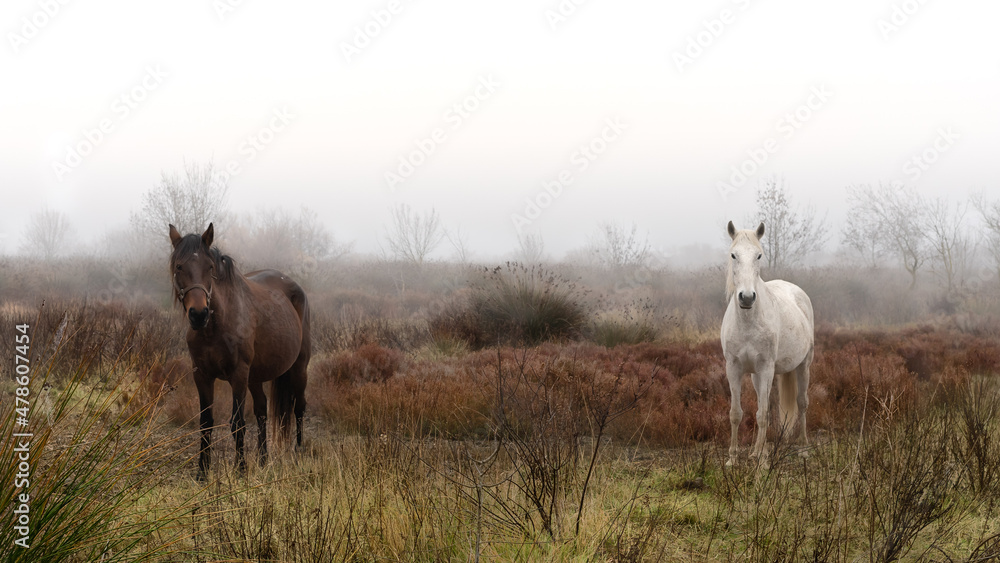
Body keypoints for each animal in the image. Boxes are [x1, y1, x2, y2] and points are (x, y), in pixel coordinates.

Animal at [168, 223, 311, 480]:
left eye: (210, 267)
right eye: (179, 267)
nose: (198, 314)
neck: (215, 327)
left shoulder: (238, 375)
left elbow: (237, 423)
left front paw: (241, 469)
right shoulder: (201, 375)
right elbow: (206, 422)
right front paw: (202, 472)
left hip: (298, 368)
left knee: (299, 407)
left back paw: (298, 452)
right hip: (255, 377)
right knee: (262, 410)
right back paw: (263, 460)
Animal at [720, 221, 814, 466]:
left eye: (759, 255)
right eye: (733, 255)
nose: (746, 297)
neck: (748, 321)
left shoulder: (766, 367)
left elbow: (762, 415)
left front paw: (762, 463)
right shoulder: (733, 368)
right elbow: (736, 413)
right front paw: (733, 458)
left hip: (803, 365)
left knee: (802, 403)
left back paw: (803, 448)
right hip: (756, 375)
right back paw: (757, 451)